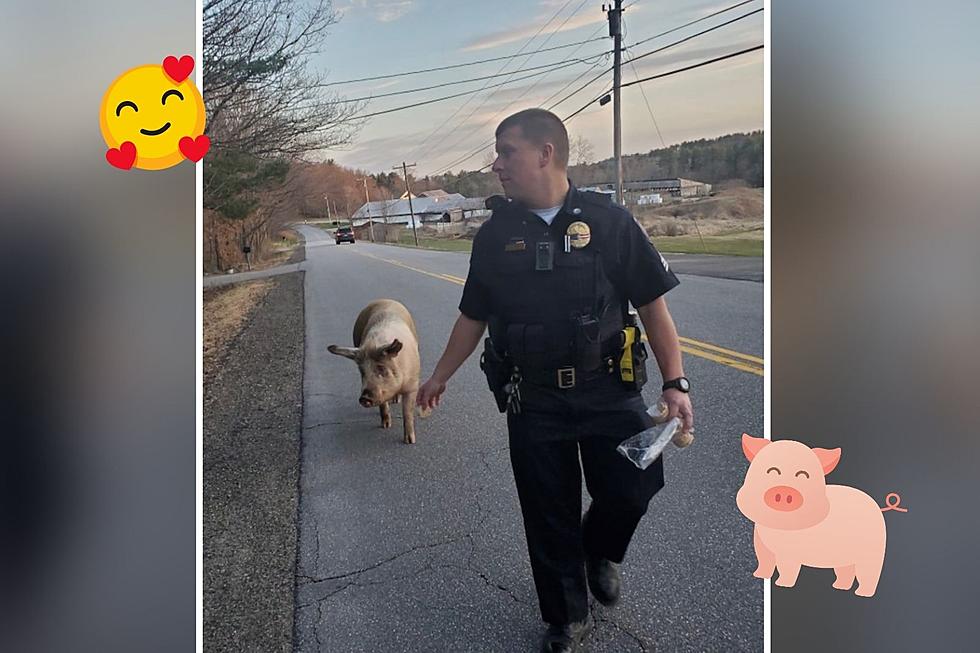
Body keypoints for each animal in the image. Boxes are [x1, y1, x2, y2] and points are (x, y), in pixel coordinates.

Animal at [736, 432, 888, 596]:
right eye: (772, 471)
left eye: (803, 475)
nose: (784, 492)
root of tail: (877, 506)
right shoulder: (761, 543)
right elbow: (765, 560)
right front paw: (759, 575)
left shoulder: (790, 551)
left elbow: (787, 567)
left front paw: (782, 584)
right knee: (845, 570)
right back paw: (839, 587)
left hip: (872, 549)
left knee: (868, 572)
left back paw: (862, 593)